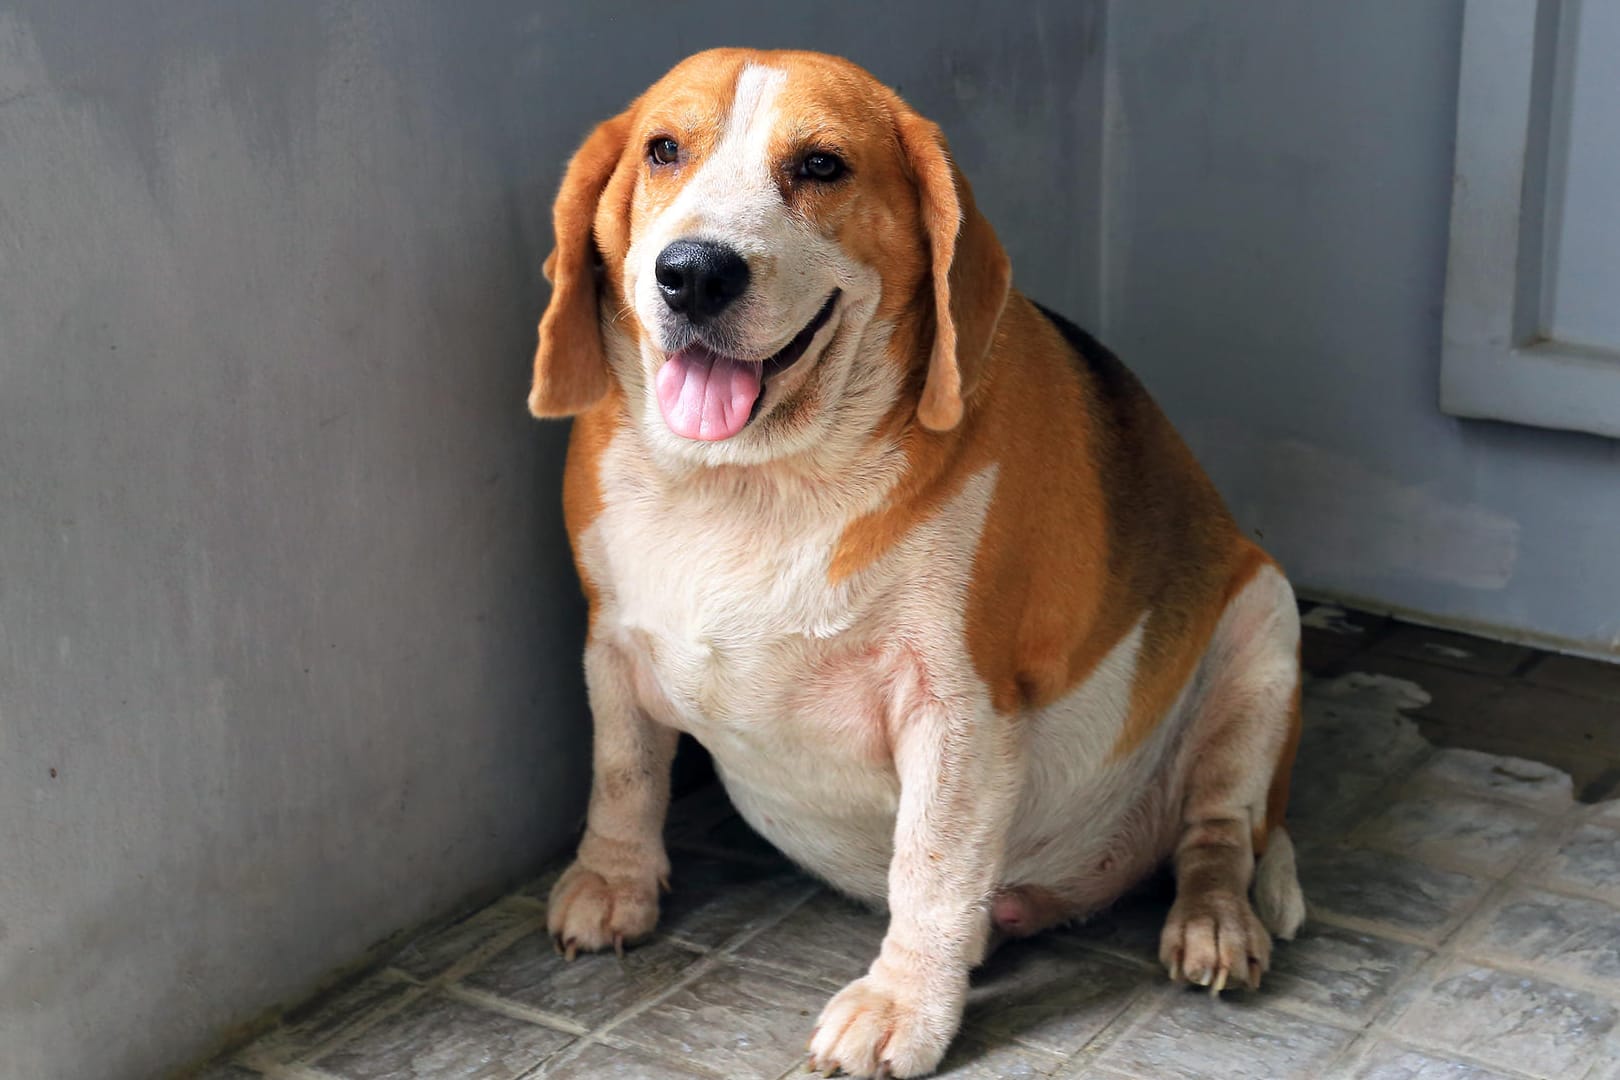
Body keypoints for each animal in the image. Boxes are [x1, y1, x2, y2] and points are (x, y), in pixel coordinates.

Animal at [531, 48, 1302, 1080]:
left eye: (820, 165)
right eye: (662, 150)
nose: (692, 274)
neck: (752, 483)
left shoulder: (958, 707)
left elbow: (931, 867)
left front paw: (902, 1004)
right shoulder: (610, 642)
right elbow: (622, 772)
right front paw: (614, 881)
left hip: (1264, 631)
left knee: (1219, 837)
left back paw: (1213, 925)